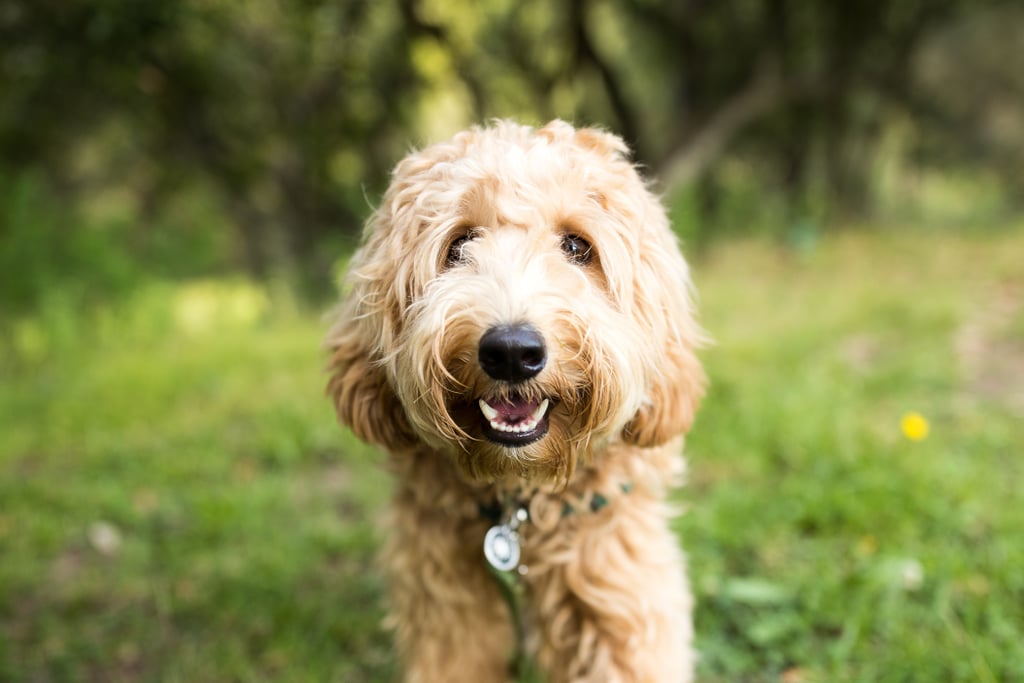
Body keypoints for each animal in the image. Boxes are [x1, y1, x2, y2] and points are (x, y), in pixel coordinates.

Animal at [327, 120, 704, 679]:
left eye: (577, 246)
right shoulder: (446, 614)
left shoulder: (619, 594)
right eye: (459, 243)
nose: (510, 352)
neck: (519, 510)